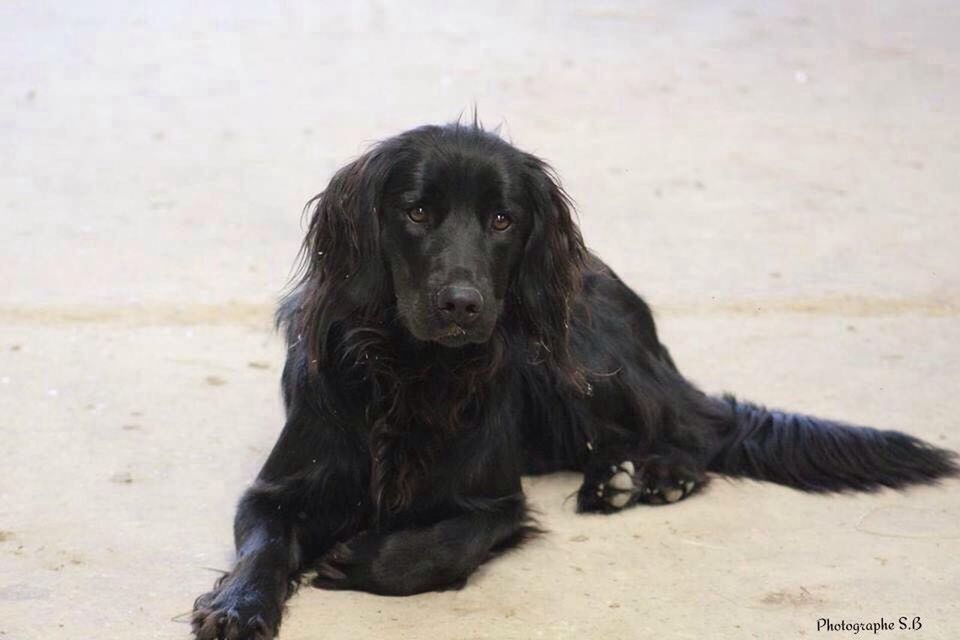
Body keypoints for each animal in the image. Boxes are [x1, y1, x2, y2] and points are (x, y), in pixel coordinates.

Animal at [191, 122, 956, 636]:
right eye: (416, 211)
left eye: (503, 219)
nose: (463, 304)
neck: (415, 368)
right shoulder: (279, 488)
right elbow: (263, 544)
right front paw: (238, 605)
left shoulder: (494, 501)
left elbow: (442, 546)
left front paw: (361, 560)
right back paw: (618, 476)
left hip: (589, 363)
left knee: (698, 429)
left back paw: (655, 476)